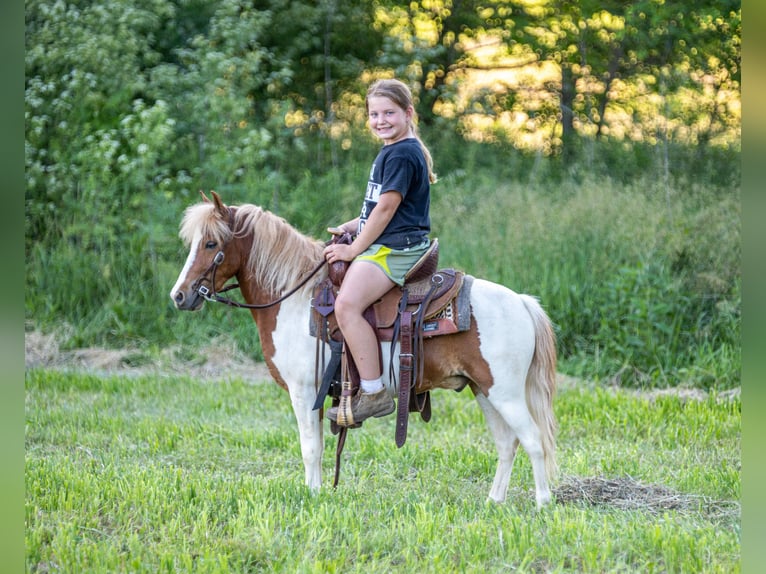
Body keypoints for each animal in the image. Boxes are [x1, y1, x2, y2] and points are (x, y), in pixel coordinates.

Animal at [169, 191, 558, 508]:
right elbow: (319, 447)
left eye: (210, 244)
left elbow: (310, 448)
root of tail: (522, 303)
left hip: (504, 392)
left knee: (533, 439)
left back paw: (542, 503)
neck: (296, 299)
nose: (179, 296)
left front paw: (312, 495)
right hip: (483, 390)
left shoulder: (303, 390)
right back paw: (495, 501)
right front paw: (318, 491)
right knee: (507, 443)